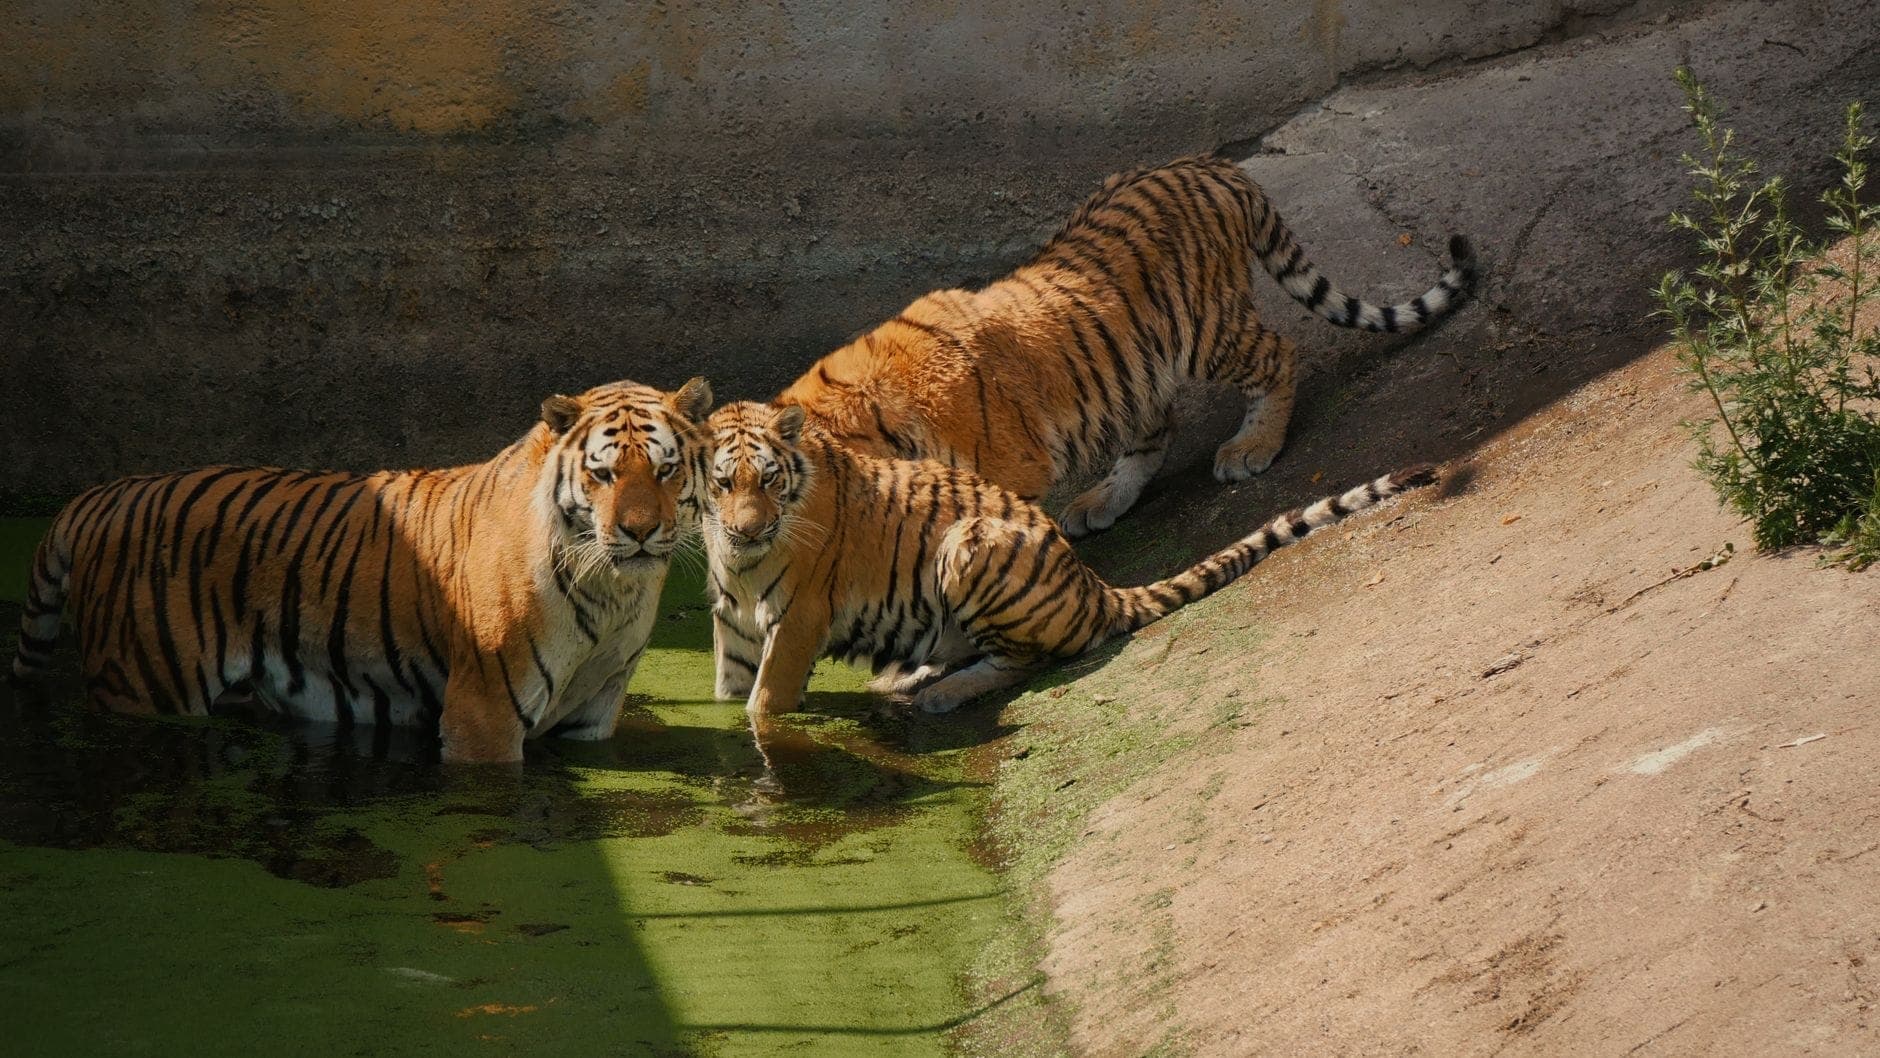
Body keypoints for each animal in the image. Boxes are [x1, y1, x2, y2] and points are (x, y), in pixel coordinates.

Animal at [9, 377, 713, 764]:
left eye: (666, 469)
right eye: (604, 474)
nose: (639, 532)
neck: (614, 591)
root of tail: (102, 495)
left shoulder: (592, 713)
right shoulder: (482, 714)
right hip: (144, 684)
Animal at [702, 401, 1435, 716]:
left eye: (769, 480)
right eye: (723, 482)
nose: (745, 531)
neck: (737, 560)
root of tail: (1096, 586)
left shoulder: (798, 618)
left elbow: (764, 701)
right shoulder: (734, 617)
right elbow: (730, 687)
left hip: (972, 547)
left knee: (1024, 661)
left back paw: (937, 695)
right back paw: (906, 679)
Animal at [774, 152, 1474, 538]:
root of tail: (1209, 164)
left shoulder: (1011, 474)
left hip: (1207, 330)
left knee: (1279, 353)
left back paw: (1251, 447)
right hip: (1130, 368)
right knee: (1153, 431)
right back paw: (1101, 501)